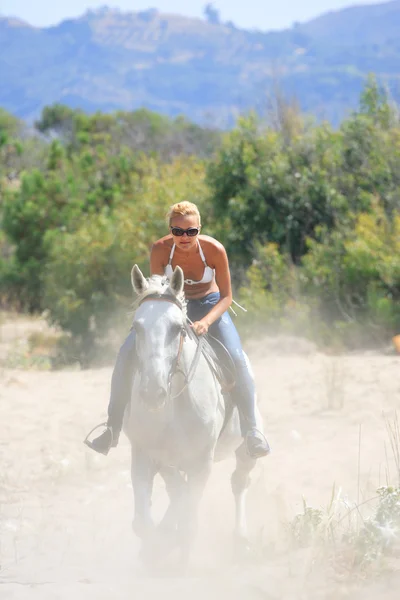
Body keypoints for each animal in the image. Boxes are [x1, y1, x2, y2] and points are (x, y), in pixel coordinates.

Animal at [125, 264, 262, 564]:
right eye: (137, 327)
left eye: (177, 328)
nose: (153, 392)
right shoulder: (146, 455)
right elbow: (144, 521)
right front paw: (156, 547)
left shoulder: (201, 462)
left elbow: (188, 520)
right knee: (178, 491)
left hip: (244, 449)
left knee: (240, 482)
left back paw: (241, 538)